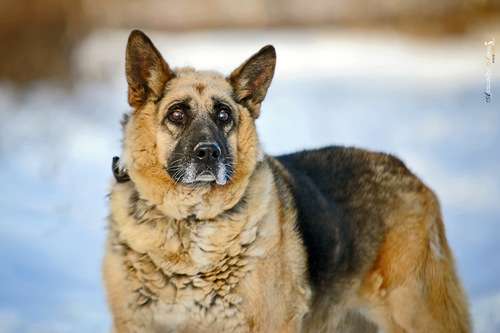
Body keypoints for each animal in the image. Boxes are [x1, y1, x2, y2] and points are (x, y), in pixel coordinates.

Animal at [103, 29, 470, 330]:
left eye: (223, 115)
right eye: (177, 114)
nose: (209, 153)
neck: (187, 226)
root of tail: (408, 172)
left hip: (415, 311)